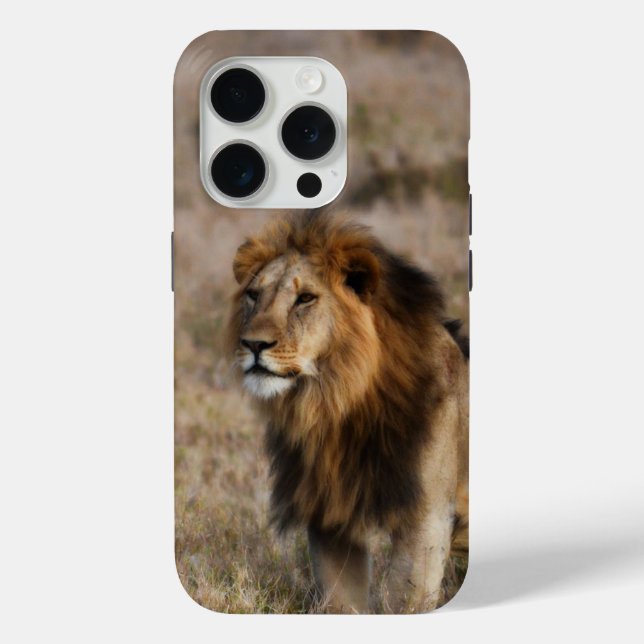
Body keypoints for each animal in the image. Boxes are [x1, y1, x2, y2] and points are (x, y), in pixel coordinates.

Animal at [226, 211, 468, 613]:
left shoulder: (427, 517)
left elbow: (403, 598)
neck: (335, 406)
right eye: (253, 295)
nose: (253, 344)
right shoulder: (329, 516)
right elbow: (342, 603)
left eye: (305, 298)